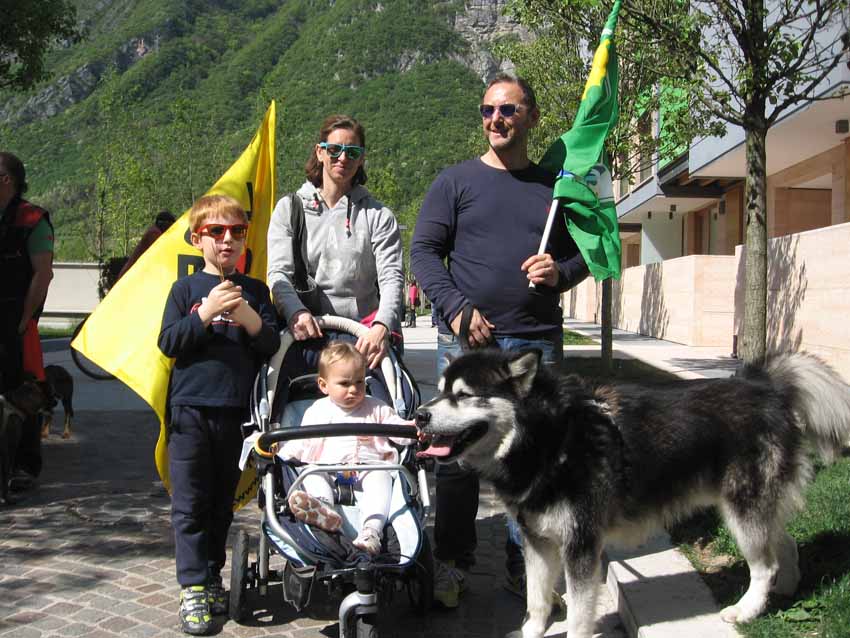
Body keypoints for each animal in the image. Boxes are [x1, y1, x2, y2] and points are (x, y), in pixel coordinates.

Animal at [415, 350, 850, 638]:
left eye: (463, 394)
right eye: (440, 391)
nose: (419, 414)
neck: (552, 439)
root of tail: (765, 386)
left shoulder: (581, 545)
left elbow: (578, 614)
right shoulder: (537, 540)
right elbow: (536, 601)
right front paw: (533, 630)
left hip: (741, 510)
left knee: (764, 565)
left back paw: (746, 610)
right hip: (753, 506)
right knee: (785, 543)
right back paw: (788, 588)